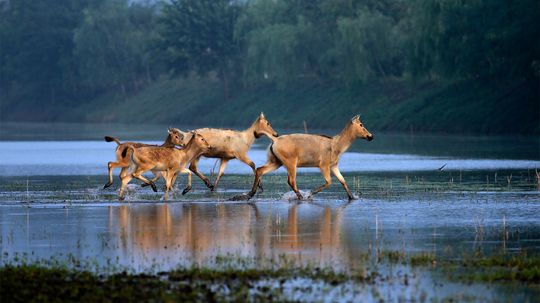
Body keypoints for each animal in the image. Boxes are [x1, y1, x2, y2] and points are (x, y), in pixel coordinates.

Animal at [234, 116, 374, 202]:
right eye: (361, 124)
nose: (370, 136)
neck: (337, 145)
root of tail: (275, 140)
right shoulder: (323, 165)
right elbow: (329, 182)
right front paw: (310, 193)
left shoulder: (334, 165)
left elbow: (343, 181)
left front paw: (352, 197)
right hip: (291, 162)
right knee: (291, 180)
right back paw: (301, 197)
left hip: (276, 161)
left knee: (260, 169)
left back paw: (250, 194)